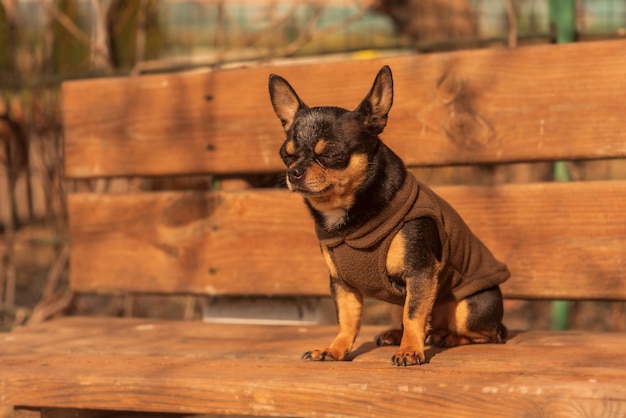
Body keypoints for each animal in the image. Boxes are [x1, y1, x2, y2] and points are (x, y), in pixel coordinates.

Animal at [266, 65, 508, 366]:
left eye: (331, 155)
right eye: (286, 156)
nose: (293, 172)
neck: (347, 218)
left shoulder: (420, 273)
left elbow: (414, 314)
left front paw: (410, 350)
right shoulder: (343, 285)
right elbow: (348, 320)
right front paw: (335, 350)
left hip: (471, 307)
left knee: (486, 333)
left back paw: (446, 337)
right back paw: (400, 334)